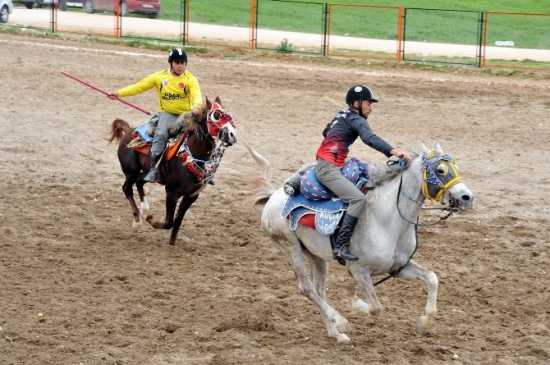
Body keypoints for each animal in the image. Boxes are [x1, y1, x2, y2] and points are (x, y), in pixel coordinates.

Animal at [108, 96, 237, 245]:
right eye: (216, 115)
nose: (232, 135)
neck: (191, 155)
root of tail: (129, 131)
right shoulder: (172, 192)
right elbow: (169, 222)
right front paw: (150, 220)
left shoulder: (192, 195)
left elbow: (177, 221)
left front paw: (172, 243)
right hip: (131, 171)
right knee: (127, 188)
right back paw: (137, 220)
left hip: (148, 174)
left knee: (140, 182)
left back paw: (144, 207)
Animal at [244, 140, 476, 342]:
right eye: (440, 170)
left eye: (455, 166)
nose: (467, 197)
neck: (388, 218)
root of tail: (273, 196)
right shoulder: (359, 270)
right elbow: (375, 308)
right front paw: (351, 297)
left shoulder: (398, 267)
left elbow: (432, 278)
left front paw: (424, 322)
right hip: (290, 247)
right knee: (306, 288)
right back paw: (340, 321)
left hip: (316, 256)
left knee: (318, 289)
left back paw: (336, 334)